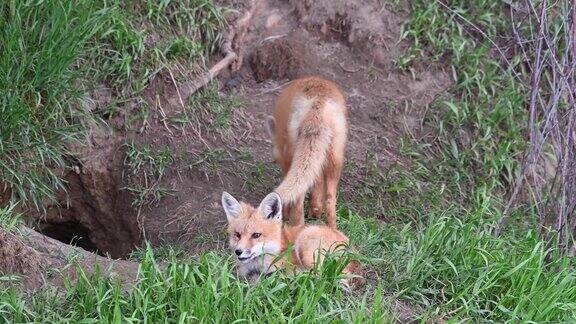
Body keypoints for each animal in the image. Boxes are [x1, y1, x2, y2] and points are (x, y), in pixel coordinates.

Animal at [266, 76, 346, 229]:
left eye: (277, 160)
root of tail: (317, 101)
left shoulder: (287, 158)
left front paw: (285, 213)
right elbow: (317, 188)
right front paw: (315, 212)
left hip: (296, 153)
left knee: (298, 199)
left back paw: (297, 228)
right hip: (335, 158)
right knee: (330, 199)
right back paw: (332, 229)